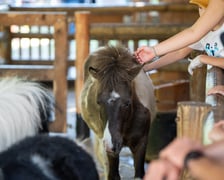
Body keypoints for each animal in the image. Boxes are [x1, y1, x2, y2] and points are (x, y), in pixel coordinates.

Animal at [80, 44, 156, 179]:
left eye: (127, 103)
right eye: (98, 102)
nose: (111, 144)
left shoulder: (141, 143)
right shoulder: (110, 151)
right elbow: (113, 175)